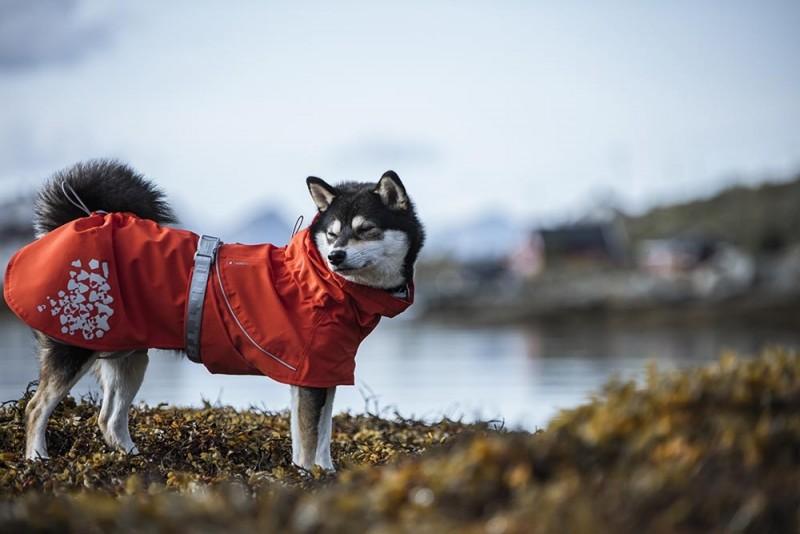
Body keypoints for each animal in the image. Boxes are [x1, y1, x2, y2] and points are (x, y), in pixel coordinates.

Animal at [7, 161, 424, 472]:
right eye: (333, 234)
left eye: (366, 230)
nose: (336, 256)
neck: (320, 282)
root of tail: (76, 221)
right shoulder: (310, 373)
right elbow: (308, 440)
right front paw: (308, 476)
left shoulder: (321, 373)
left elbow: (318, 436)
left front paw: (324, 474)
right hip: (75, 346)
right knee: (36, 407)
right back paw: (37, 458)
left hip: (128, 358)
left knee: (108, 420)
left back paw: (138, 460)